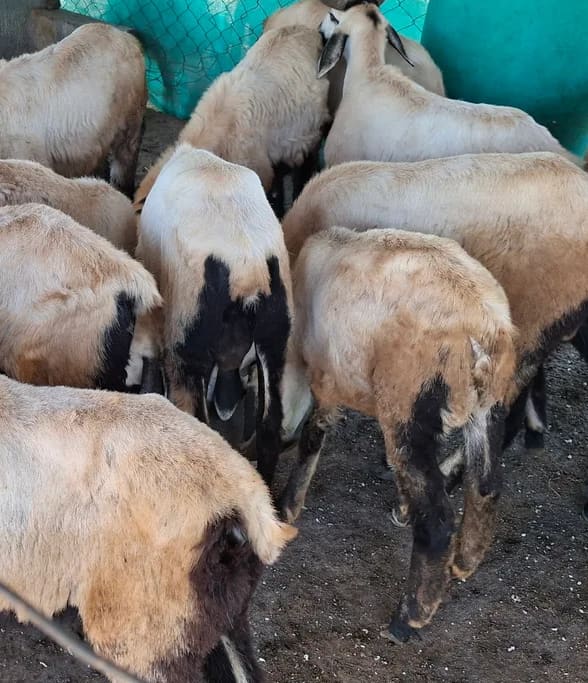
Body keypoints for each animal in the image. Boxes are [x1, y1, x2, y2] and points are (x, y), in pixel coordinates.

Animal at [277, 226, 515, 642]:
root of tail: (483, 331)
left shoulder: (326, 377)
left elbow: (314, 435)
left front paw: (290, 503)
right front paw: (402, 504)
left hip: (408, 400)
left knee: (437, 519)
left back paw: (410, 617)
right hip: (488, 405)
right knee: (486, 486)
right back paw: (464, 562)